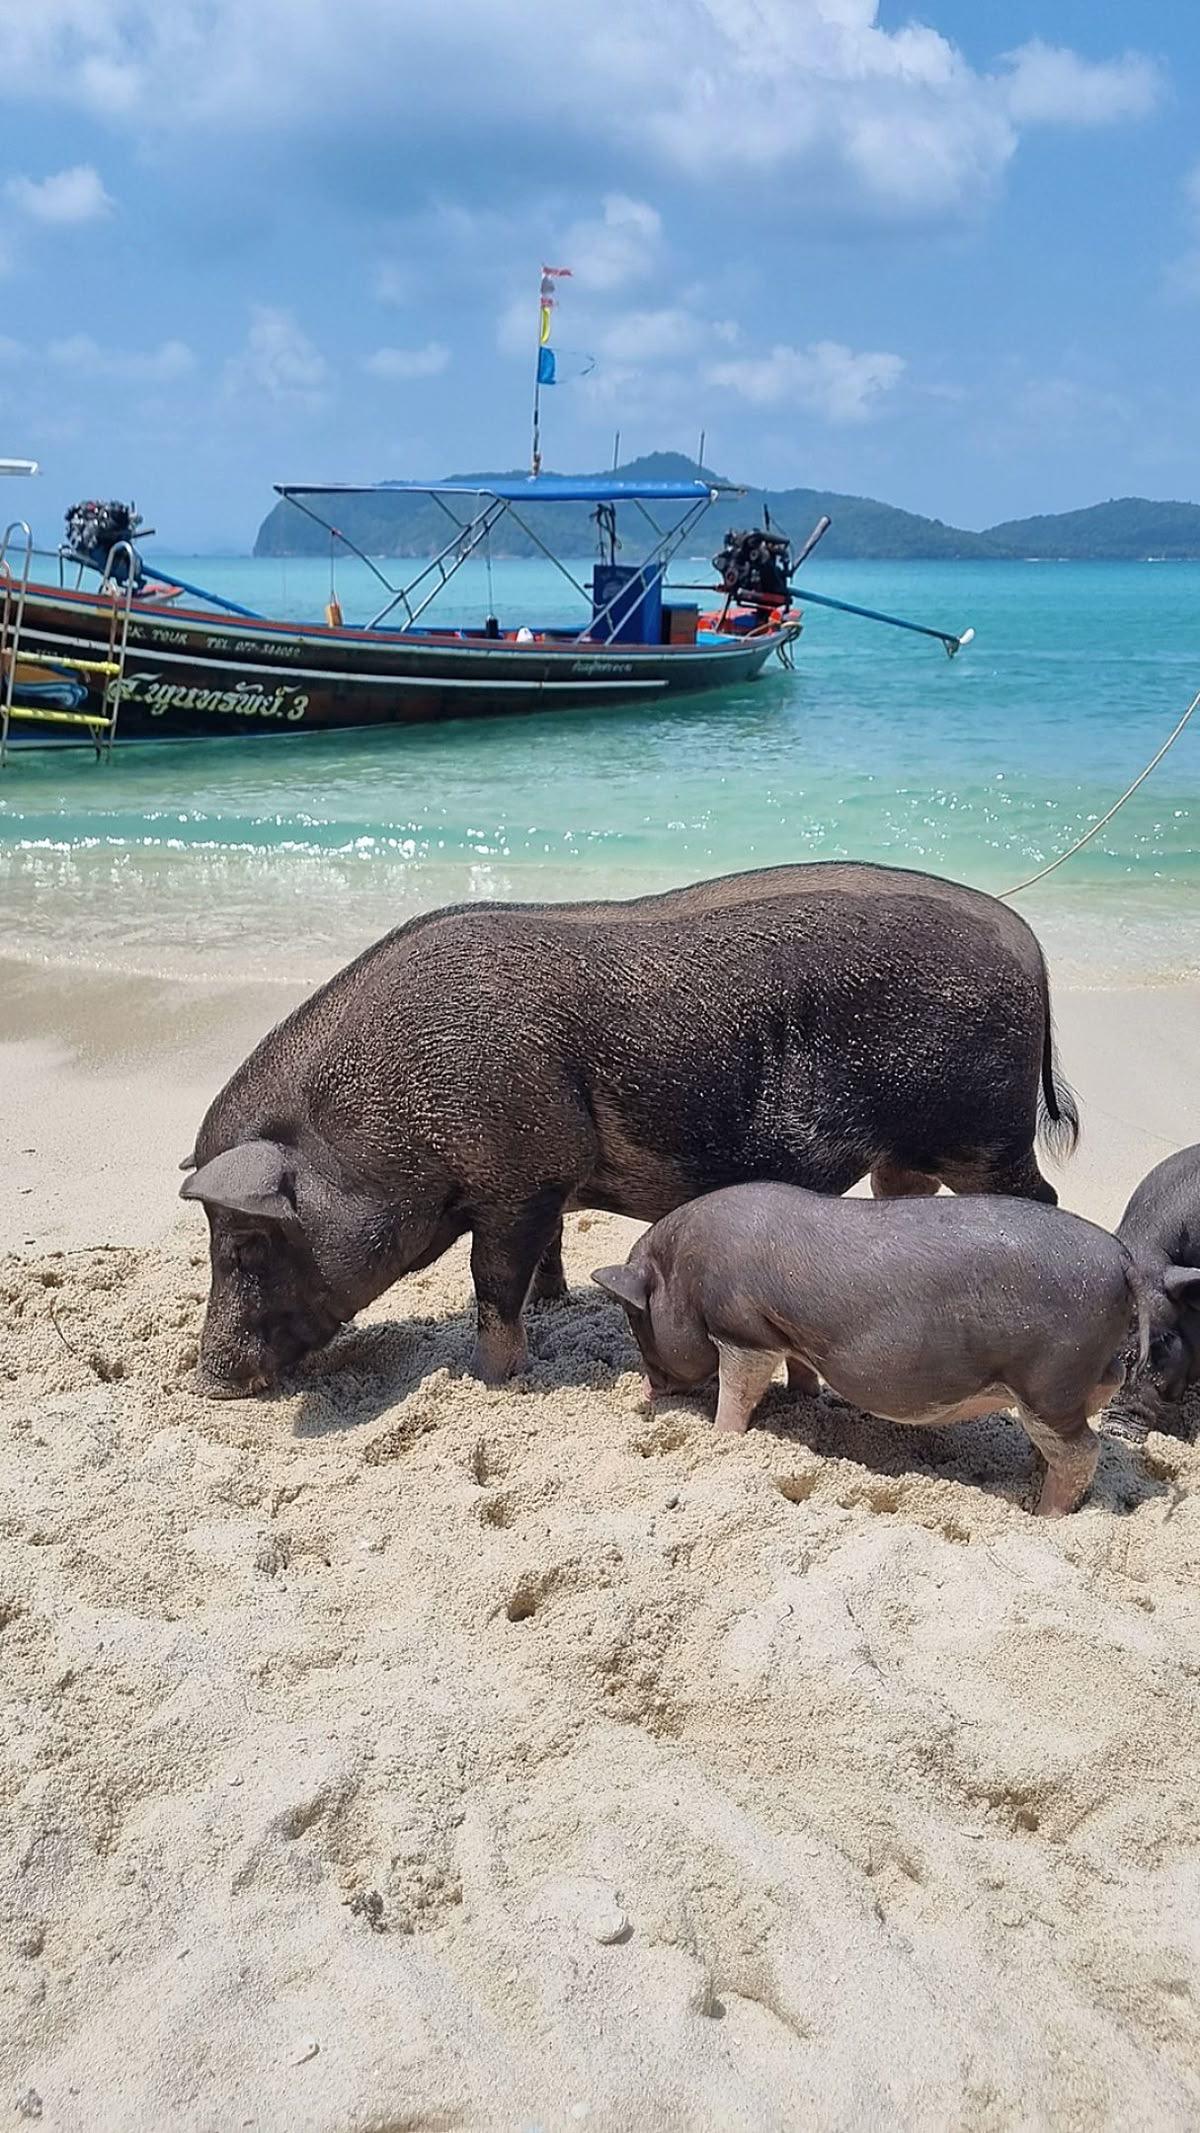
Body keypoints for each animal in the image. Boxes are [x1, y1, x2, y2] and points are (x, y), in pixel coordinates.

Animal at [180, 860, 1079, 1398]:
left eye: (247, 1242)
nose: (204, 1380)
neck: (379, 1119)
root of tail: (1030, 947)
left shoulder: (520, 1176)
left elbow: (490, 1281)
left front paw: (493, 1378)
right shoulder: (540, 1184)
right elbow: (541, 1260)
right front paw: (552, 1305)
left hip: (986, 1135)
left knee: (1044, 1199)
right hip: (915, 1152)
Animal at [591, 1183, 1167, 1515]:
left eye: (637, 1319)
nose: (646, 1392)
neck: (683, 1272)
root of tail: (1123, 1260)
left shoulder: (742, 1330)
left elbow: (738, 1390)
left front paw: (721, 1436)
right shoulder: (787, 1336)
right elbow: (800, 1369)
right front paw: (801, 1400)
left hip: (1048, 1377)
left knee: (1081, 1450)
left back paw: (1044, 1516)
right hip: (1079, 1378)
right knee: (1086, 1417)